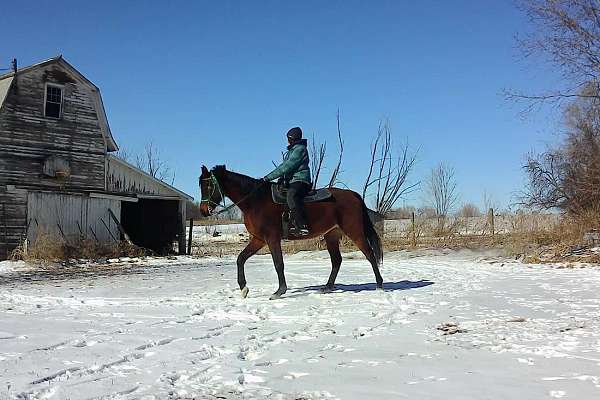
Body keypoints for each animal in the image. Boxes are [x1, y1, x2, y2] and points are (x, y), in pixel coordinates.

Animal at [199, 164, 382, 298]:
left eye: (209, 185)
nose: (203, 210)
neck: (255, 201)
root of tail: (354, 195)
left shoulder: (272, 239)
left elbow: (278, 263)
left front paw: (280, 291)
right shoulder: (258, 239)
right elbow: (240, 259)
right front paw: (244, 289)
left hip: (355, 231)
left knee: (370, 254)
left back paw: (379, 285)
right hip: (332, 235)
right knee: (337, 260)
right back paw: (327, 287)